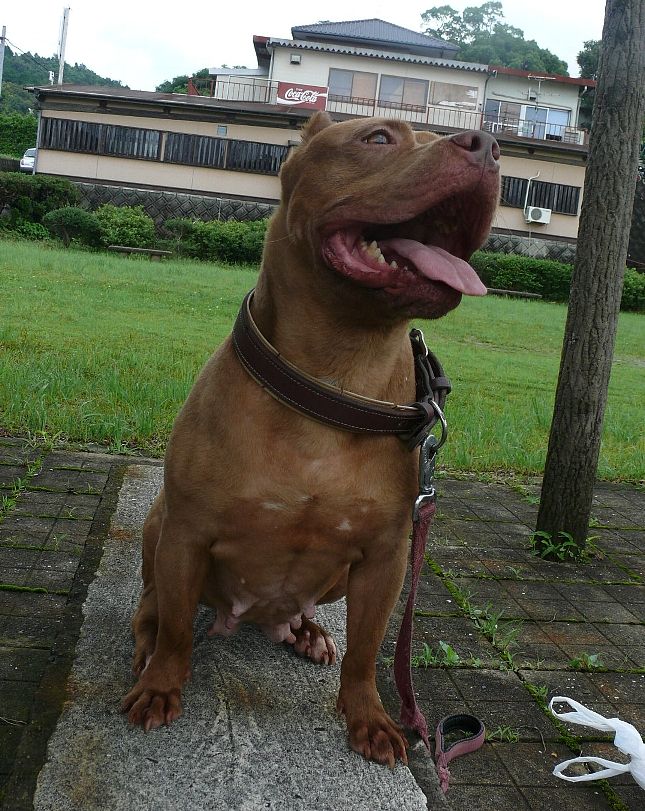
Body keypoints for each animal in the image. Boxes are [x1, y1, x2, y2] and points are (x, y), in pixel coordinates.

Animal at [121, 112, 500, 767]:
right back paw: (148, 646)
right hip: (158, 524)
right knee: (155, 606)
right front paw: (163, 685)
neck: (334, 376)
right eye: (378, 139)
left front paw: (368, 716)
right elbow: (174, 632)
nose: (489, 146)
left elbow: (367, 651)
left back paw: (308, 632)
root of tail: (251, 618)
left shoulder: (385, 560)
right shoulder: (186, 534)